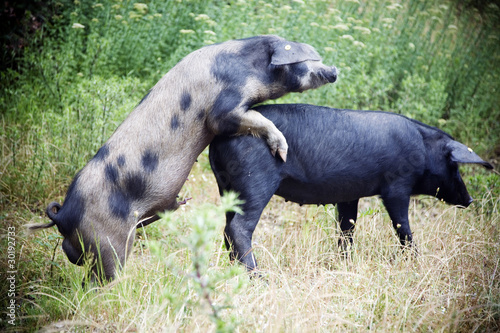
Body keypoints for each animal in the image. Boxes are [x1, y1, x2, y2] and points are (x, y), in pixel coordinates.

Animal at [207, 104, 492, 270]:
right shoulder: (397, 185)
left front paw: (346, 263)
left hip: (227, 186)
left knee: (226, 227)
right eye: (454, 166)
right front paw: (415, 262)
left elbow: (347, 229)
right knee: (239, 227)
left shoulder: (348, 194)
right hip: (255, 180)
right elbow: (402, 226)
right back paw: (258, 276)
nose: (469, 200)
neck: (423, 148)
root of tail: (218, 138)